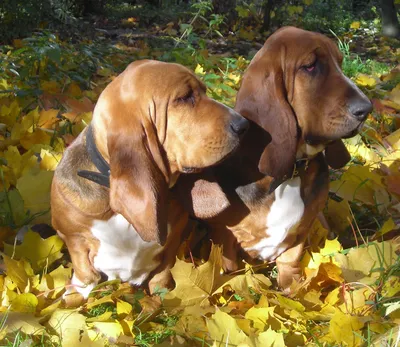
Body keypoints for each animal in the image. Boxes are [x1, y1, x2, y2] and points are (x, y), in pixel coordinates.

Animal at [51, 60, 248, 300]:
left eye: (204, 91)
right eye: (184, 98)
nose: (244, 124)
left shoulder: (174, 239)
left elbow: (162, 273)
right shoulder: (71, 235)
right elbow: (84, 272)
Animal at [178, 25, 372, 290]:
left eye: (340, 62)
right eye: (310, 66)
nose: (367, 108)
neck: (292, 171)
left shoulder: (302, 230)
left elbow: (290, 261)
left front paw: (294, 289)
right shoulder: (224, 236)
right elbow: (231, 268)